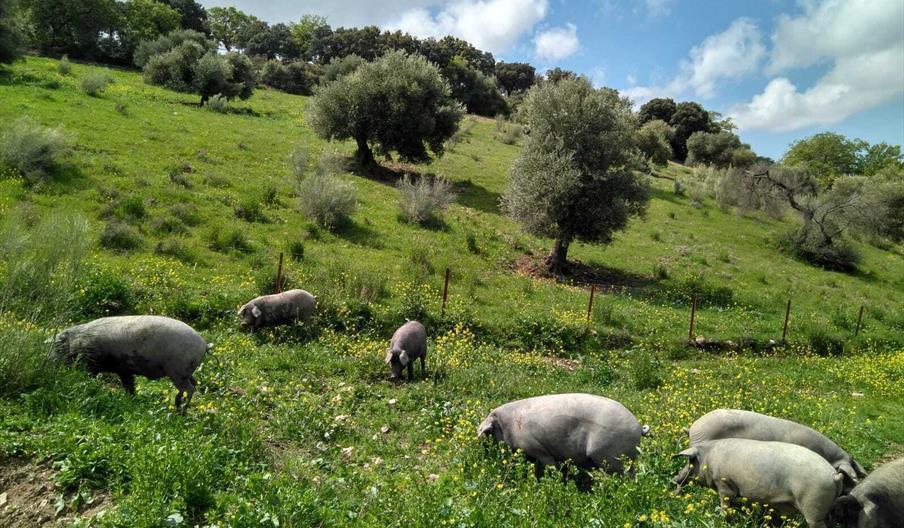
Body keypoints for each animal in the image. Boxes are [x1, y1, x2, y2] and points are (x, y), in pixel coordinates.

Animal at [50, 316, 210, 410]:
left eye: (56, 346)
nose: (49, 360)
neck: (74, 342)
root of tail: (204, 344)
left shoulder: (89, 362)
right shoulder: (123, 370)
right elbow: (129, 385)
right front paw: (131, 400)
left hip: (178, 370)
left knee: (189, 389)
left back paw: (179, 409)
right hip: (186, 370)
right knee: (194, 383)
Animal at [477, 393, 651, 476]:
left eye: (488, 433)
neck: (508, 426)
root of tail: (638, 428)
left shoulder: (536, 446)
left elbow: (550, 464)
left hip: (608, 453)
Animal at [675, 439, 844, 528]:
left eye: (690, 461)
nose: (676, 477)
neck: (708, 458)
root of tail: (834, 475)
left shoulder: (724, 483)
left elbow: (726, 504)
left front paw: (724, 519)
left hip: (814, 506)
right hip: (825, 509)